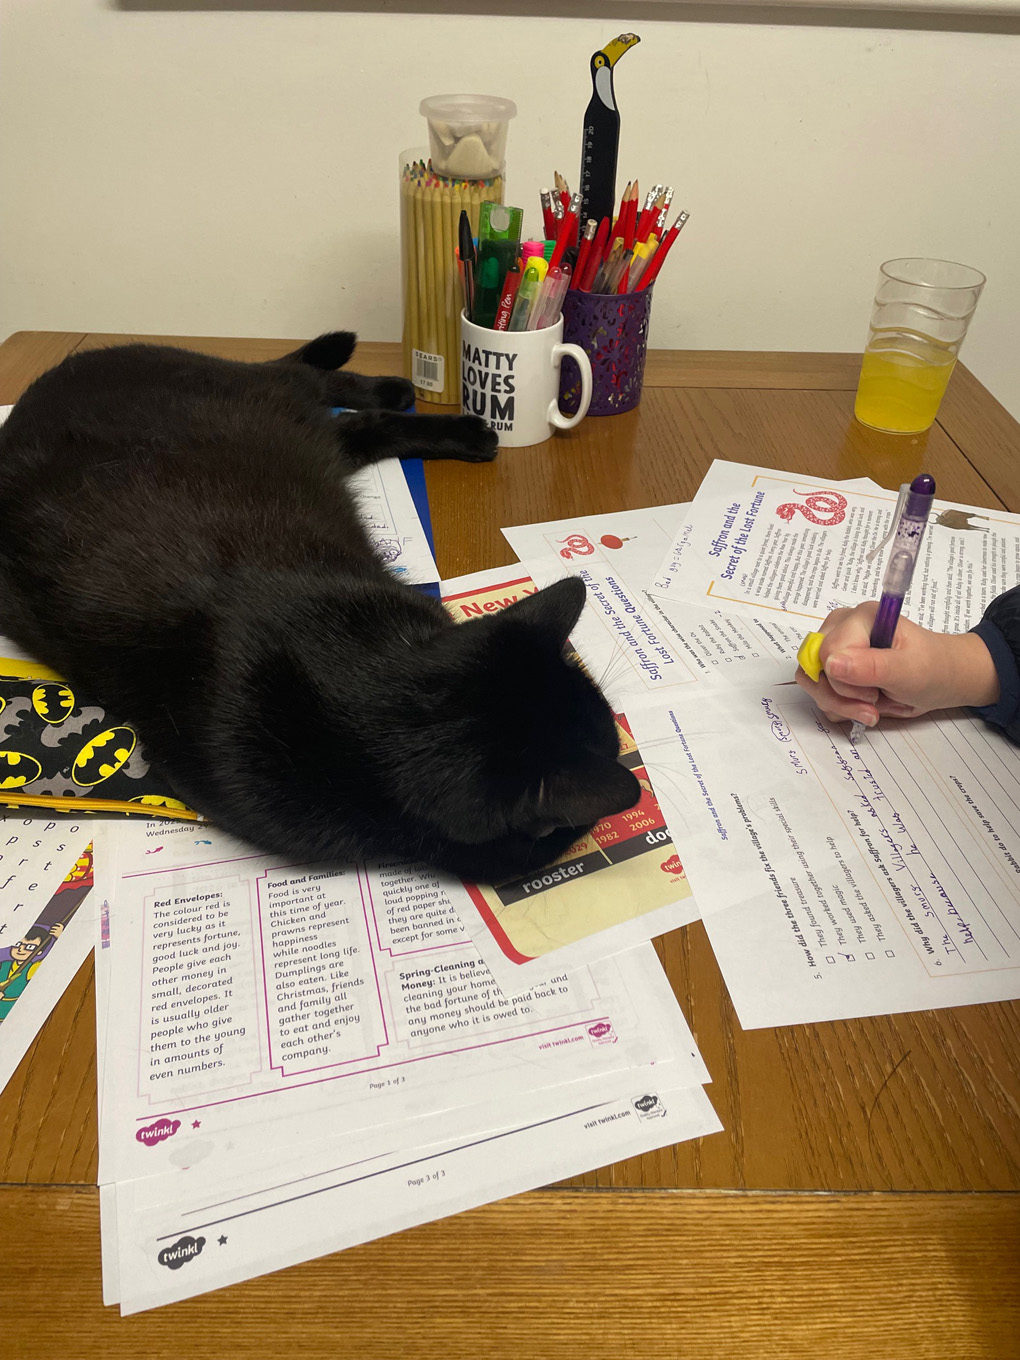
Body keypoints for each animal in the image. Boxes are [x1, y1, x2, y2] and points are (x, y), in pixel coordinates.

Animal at [0, 333, 639, 875]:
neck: (371, 685)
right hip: (271, 409)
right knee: (314, 391)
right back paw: (426, 407)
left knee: (323, 396)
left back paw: (422, 405)